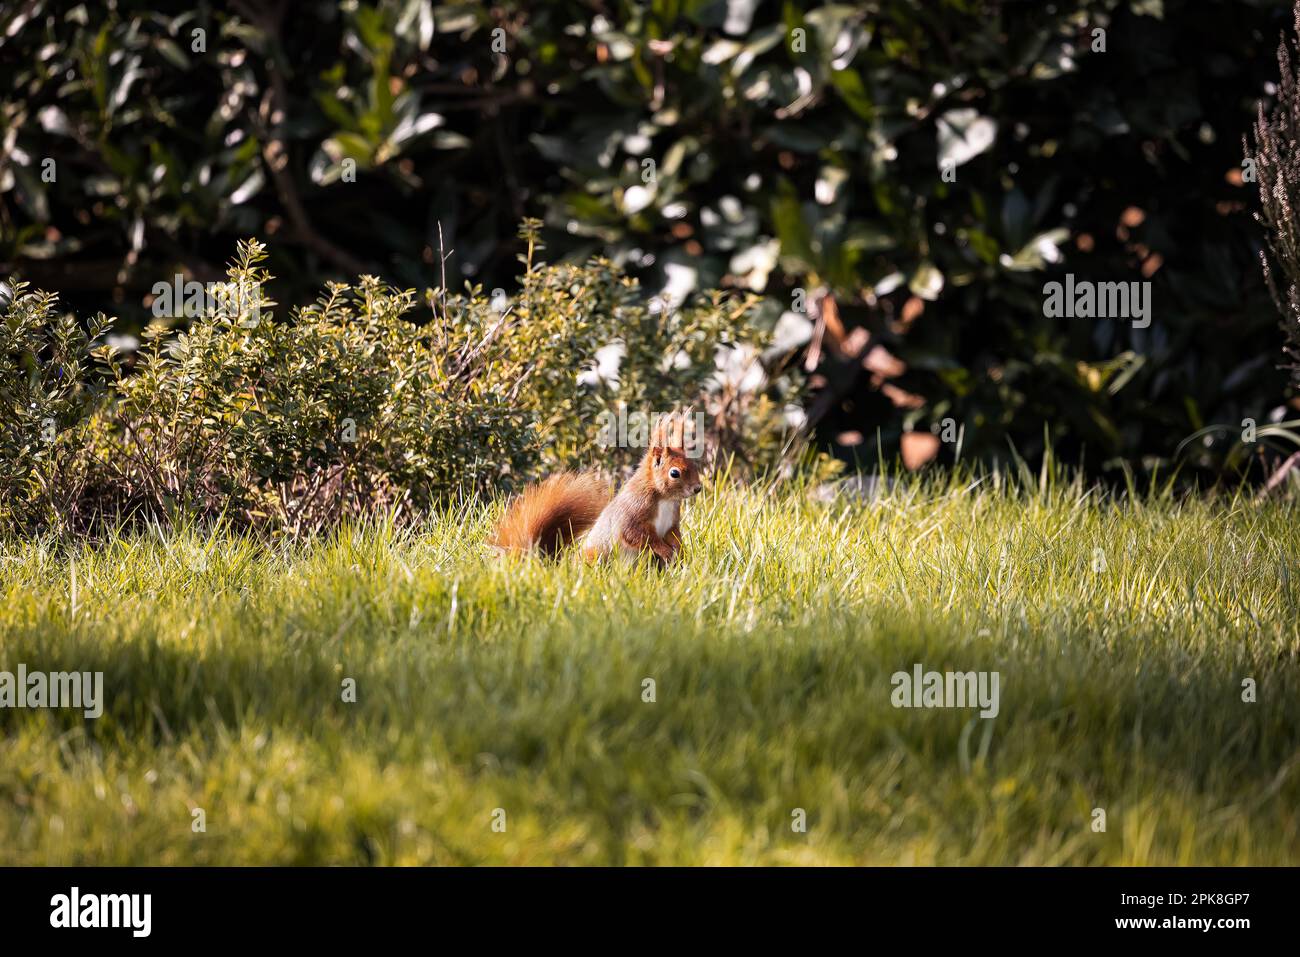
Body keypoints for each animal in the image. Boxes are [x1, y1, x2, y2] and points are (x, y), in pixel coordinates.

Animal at [493, 416, 702, 564]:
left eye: (694, 464)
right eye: (674, 473)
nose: (698, 488)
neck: (664, 499)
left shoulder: (672, 523)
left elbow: (673, 536)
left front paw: (680, 553)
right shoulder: (633, 511)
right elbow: (637, 535)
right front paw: (666, 551)